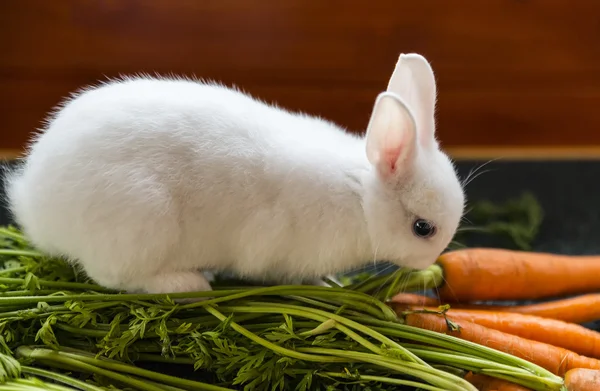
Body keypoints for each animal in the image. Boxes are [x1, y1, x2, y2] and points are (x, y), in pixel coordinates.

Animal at [3, 53, 464, 296]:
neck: (360, 198)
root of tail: (34, 203)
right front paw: (325, 285)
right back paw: (189, 283)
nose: (433, 261)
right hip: (141, 220)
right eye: (423, 228)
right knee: (112, 277)